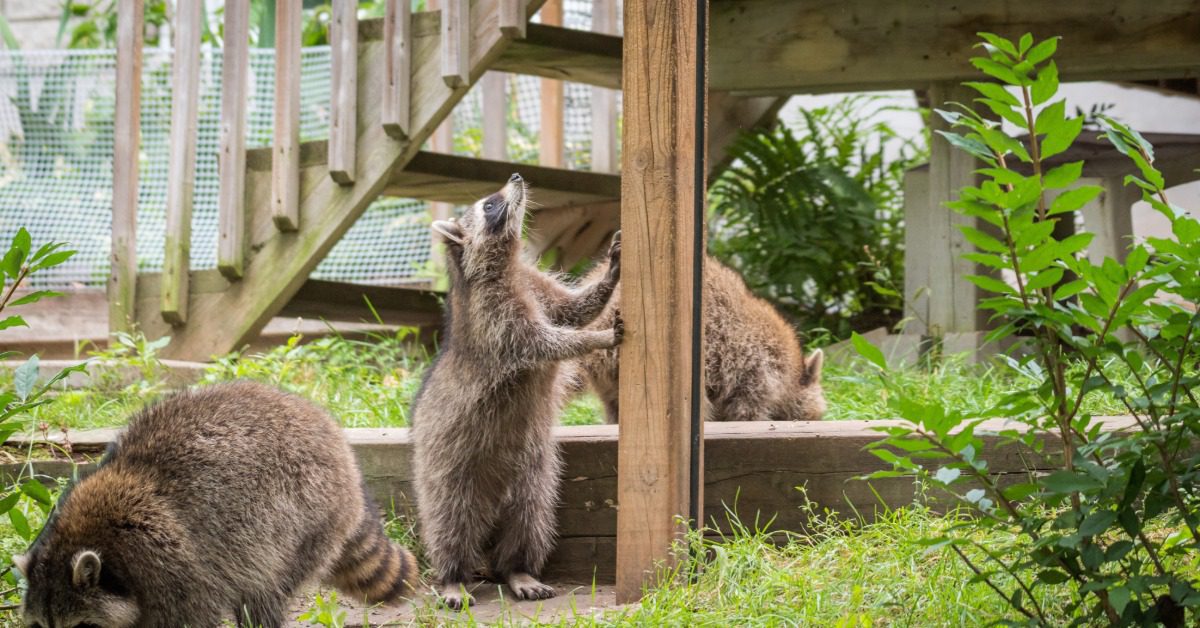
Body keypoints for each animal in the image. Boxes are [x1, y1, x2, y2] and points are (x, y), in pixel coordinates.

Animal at [411, 174, 622, 610]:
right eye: (490, 205)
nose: (516, 177)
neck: (505, 263)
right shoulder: (497, 319)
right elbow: (549, 342)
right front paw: (595, 338)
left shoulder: (535, 286)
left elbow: (574, 310)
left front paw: (610, 276)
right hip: (445, 462)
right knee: (449, 519)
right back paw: (452, 574)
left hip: (535, 471)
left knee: (531, 517)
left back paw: (518, 568)